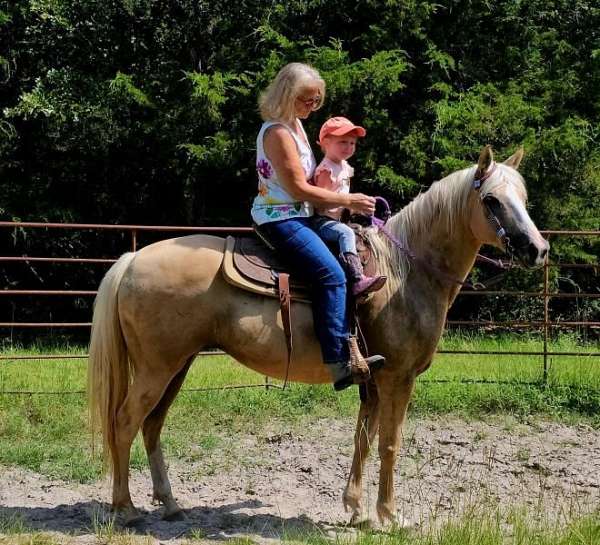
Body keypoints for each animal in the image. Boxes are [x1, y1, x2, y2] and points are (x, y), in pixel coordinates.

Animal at [88, 144, 548, 524]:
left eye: (523, 199)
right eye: (491, 200)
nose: (538, 249)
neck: (405, 273)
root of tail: (131, 260)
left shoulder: (372, 380)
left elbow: (364, 440)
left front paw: (356, 510)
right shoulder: (397, 378)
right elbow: (390, 443)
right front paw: (389, 516)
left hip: (177, 365)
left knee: (151, 425)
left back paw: (169, 504)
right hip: (157, 368)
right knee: (125, 422)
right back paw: (125, 509)